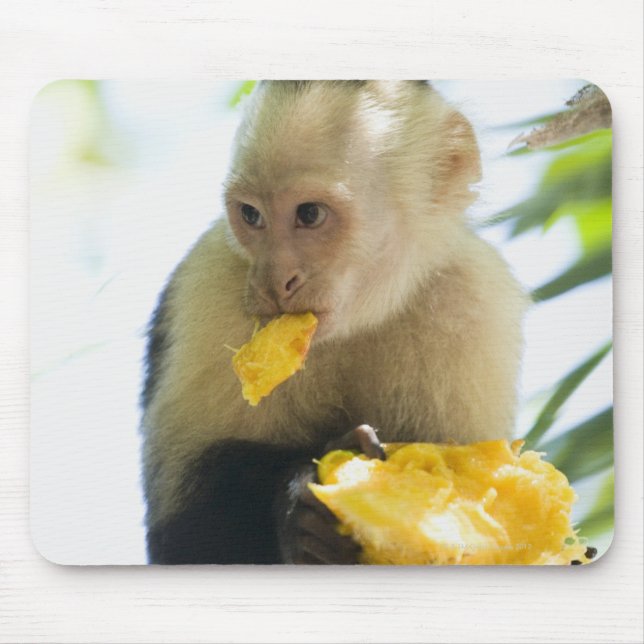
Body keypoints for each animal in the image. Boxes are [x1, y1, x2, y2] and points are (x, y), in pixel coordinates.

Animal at [140, 81, 528, 564]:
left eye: (309, 214)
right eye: (251, 215)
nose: (273, 280)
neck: (359, 316)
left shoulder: (473, 299)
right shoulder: (210, 288)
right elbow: (182, 534)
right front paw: (299, 512)